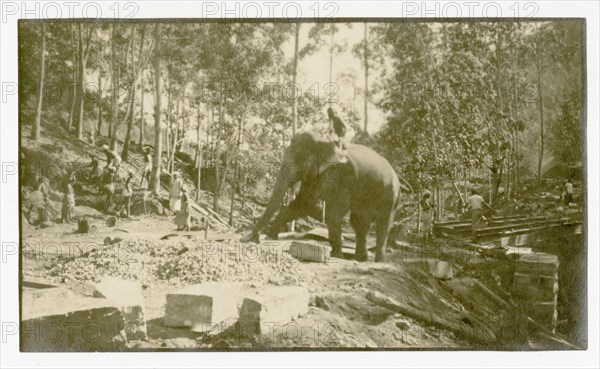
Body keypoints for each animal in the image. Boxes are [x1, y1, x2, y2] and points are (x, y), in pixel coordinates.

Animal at [241, 130, 410, 262]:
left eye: (299, 158)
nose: (253, 238)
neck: (322, 140)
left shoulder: (341, 176)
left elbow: (332, 213)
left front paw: (337, 256)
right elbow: (303, 203)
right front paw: (270, 234)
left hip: (391, 196)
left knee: (383, 223)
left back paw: (378, 261)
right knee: (360, 222)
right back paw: (360, 259)